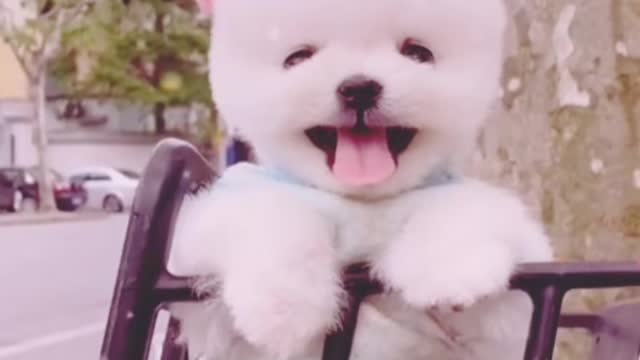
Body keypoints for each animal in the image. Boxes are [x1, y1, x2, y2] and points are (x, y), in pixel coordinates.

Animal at [169, 0, 552, 358]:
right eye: (298, 58)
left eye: (418, 53)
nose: (359, 87)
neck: (363, 202)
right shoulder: (200, 288)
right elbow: (271, 214)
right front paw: (283, 301)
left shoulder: (508, 320)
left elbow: (462, 212)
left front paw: (450, 267)